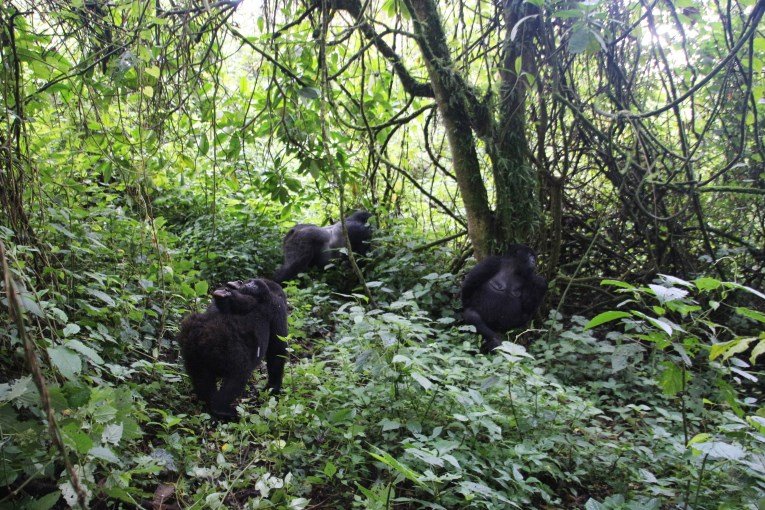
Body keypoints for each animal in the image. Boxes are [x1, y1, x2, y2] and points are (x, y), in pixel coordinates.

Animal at [178, 278, 288, 418]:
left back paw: (206, 400)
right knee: (239, 374)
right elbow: (277, 351)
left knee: (201, 375)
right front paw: (273, 387)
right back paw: (221, 408)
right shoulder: (277, 306)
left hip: (190, 344)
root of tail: (201, 333)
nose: (240, 283)